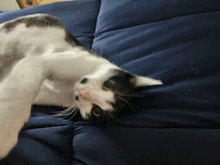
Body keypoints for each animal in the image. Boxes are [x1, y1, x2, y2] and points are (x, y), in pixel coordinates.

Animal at [0, 14, 162, 159]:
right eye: (109, 84)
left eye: (97, 111)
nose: (84, 92)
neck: (67, 86)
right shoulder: (41, 61)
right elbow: (19, 90)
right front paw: (6, 128)